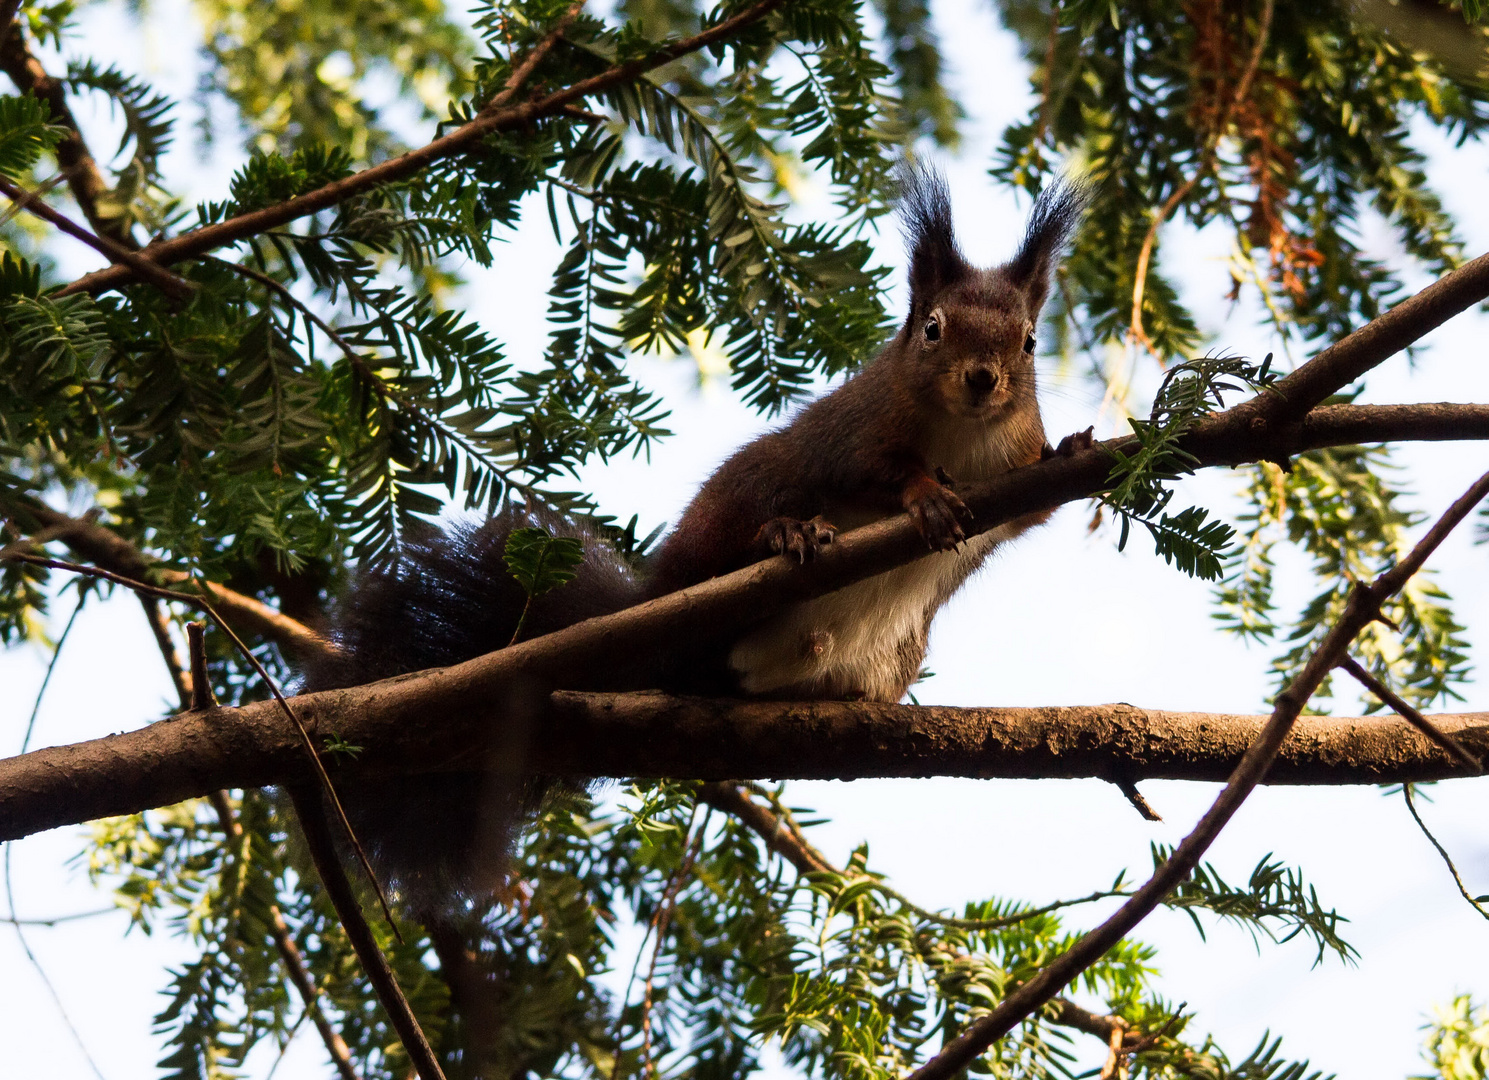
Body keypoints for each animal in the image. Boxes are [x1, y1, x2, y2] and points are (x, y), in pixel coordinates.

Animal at [305, 162, 1095, 911]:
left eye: (1029, 342)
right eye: (932, 328)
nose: (982, 380)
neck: (964, 433)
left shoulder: (1009, 464)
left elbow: (1032, 507)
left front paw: (1071, 450)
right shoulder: (857, 429)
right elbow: (878, 472)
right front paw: (926, 496)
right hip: (738, 503)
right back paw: (786, 535)